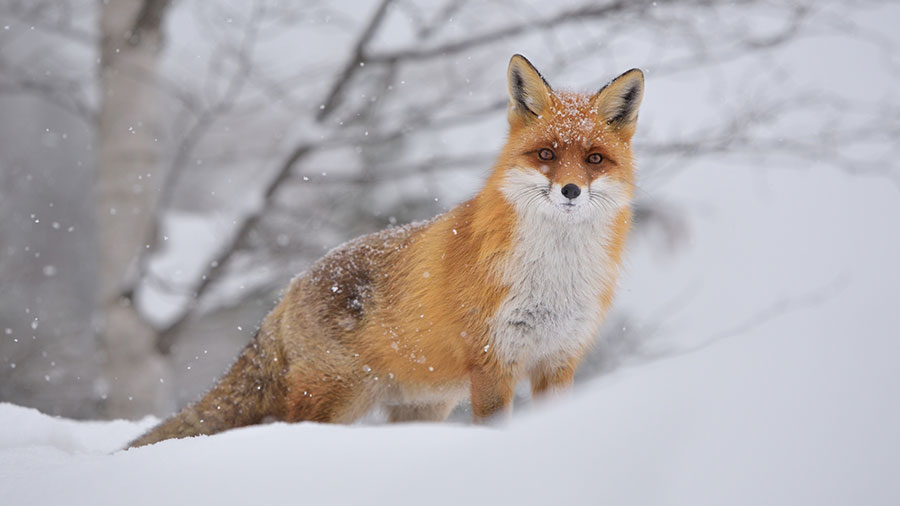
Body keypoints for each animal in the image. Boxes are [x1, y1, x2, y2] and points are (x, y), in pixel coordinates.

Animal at [130, 55, 644, 448]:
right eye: (546, 155)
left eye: (594, 159)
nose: (571, 191)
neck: (554, 274)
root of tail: (290, 288)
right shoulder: (492, 362)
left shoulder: (558, 359)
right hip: (335, 400)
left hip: (421, 407)